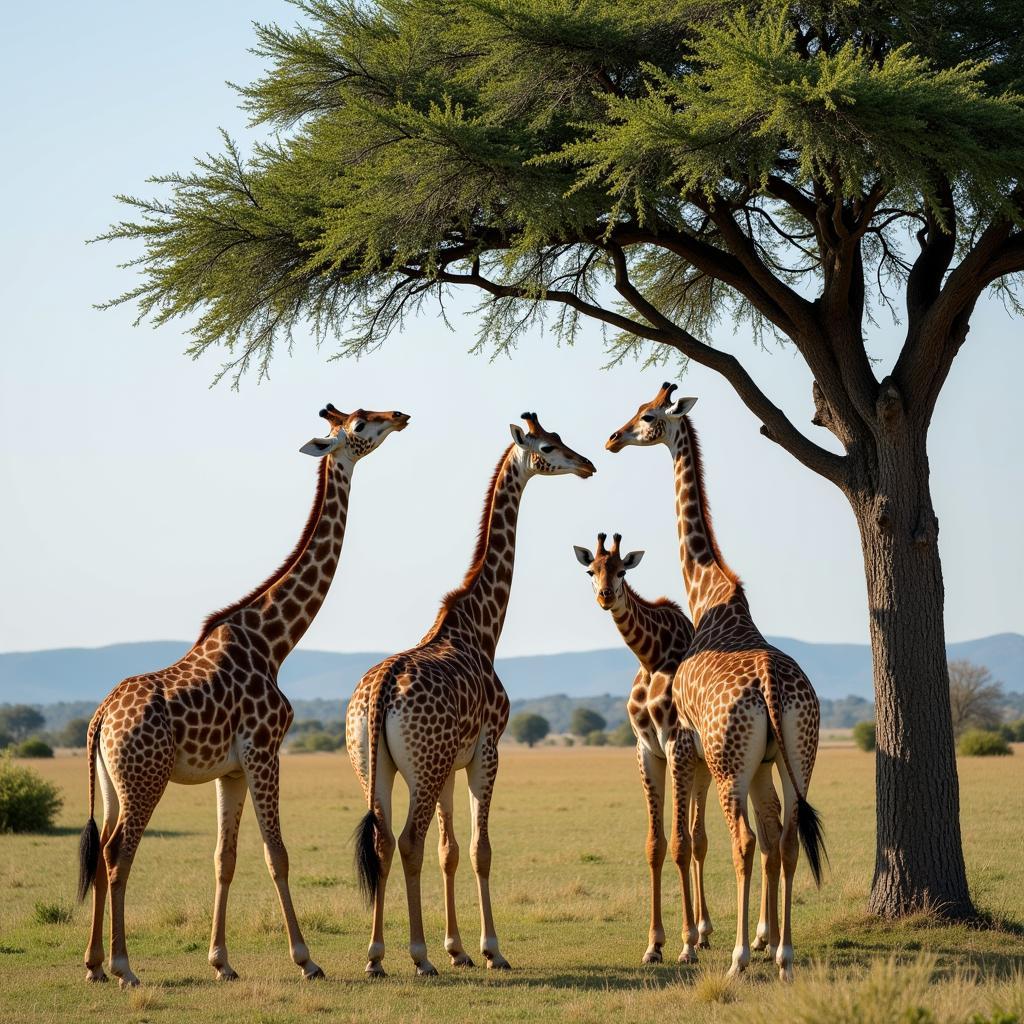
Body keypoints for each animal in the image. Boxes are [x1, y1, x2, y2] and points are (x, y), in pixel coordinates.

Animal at [75, 397, 407, 983]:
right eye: (361, 422)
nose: (401, 416)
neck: (274, 641)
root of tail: (98, 720)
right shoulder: (263, 750)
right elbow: (278, 854)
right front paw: (306, 959)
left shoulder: (228, 770)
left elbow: (223, 860)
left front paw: (221, 962)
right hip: (145, 779)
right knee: (118, 855)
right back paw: (122, 966)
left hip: (113, 783)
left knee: (101, 853)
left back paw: (93, 965)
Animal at [348, 409, 598, 974]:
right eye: (549, 446)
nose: (588, 464)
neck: (481, 628)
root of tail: (378, 696)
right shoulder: (487, 751)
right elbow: (481, 849)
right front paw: (491, 949)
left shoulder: (447, 763)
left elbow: (451, 850)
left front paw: (458, 947)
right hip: (421, 766)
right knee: (408, 840)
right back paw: (417, 956)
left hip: (376, 766)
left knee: (384, 841)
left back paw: (375, 956)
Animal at [573, 532, 716, 962]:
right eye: (591, 570)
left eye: (622, 570)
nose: (605, 596)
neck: (651, 658)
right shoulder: (647, 750)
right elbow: (657, 844)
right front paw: (654, 944)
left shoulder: (678, 745)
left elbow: (681, 845)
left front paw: (686, 945)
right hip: (697, 768)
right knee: (698, 836)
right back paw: (705, 931)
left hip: (707, 762)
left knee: (701, 838)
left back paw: (708, 933)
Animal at [606, 385, 823, 983]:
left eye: (647, 416)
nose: (612, 438)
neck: (709, 595)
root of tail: (772, 686)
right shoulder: (757, 760)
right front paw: (763, 940)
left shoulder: (687, 743)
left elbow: (692, 840)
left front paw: (688, 943)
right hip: (795, 757)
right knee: (786, 839)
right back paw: (783, 955)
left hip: (729, 763)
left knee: (745, 841)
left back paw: (739, 957)